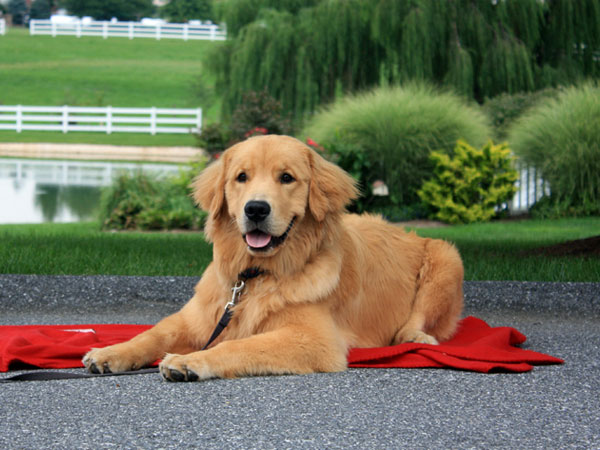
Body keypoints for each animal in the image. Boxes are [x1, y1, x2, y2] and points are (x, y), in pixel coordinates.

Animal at [82, 135, 462, 382]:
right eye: (241, 177)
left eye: (287, 178)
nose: (256, 209)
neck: (255, 276)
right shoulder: (197, 318)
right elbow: (151, 335)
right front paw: (110, 353)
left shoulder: (316, 340)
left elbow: (240, 345)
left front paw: (190, 360)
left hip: (447, 258)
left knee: (419, 321)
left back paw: (414, 339)